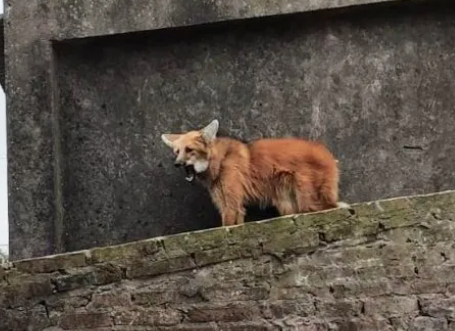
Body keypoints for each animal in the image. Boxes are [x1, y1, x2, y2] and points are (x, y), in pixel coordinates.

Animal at [161, 120, 350, 227]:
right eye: (177, 151)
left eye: (189, 150)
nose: (177, 164)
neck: (219, 161)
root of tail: (326, 153)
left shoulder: (232, 203)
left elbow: (228, 223)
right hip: (285, 201)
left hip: (308, 200)